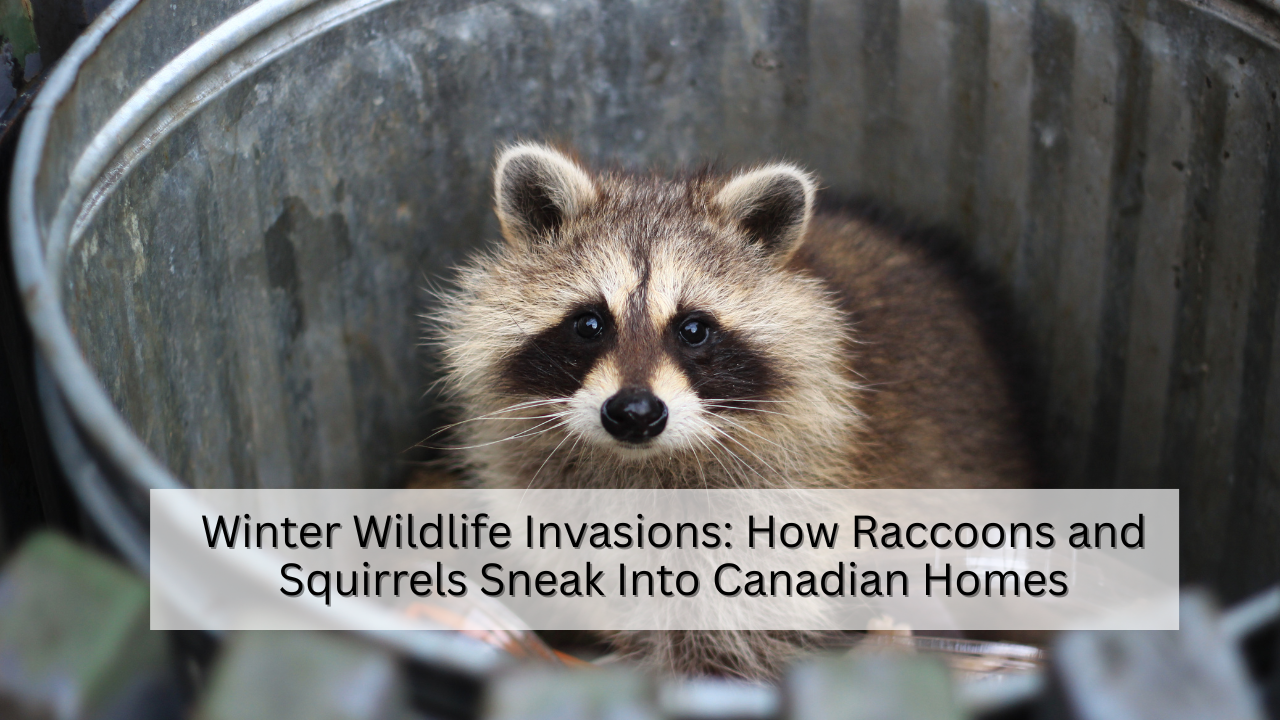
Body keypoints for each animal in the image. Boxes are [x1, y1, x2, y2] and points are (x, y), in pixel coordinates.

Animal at [431, 143, 1035, 677]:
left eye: (694, 329)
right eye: (589, 323)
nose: (634, 412)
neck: (643, 466)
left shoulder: (789, 499)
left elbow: (731, 620)